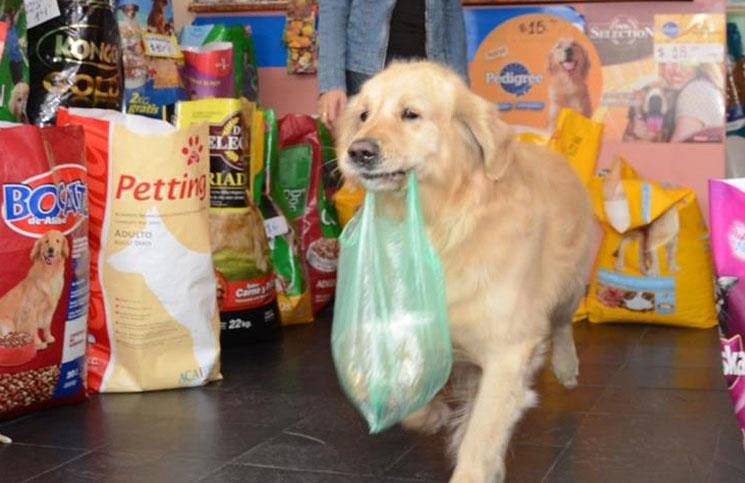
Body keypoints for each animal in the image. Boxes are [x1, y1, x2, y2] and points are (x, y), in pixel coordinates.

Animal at [338, 61, 592, 483]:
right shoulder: (412, 327)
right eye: (363, 115)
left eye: (411, 114)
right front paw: (432, 415)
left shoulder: (508, 350)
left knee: (561, 323)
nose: (357, 150)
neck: (441, 224)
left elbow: (481, 436)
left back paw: (568, 367)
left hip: (570, 286)